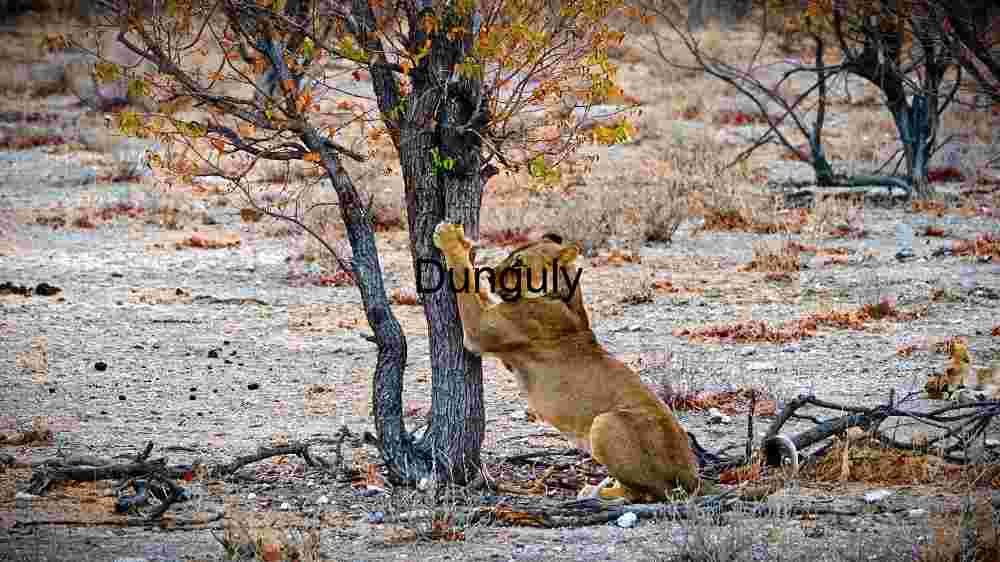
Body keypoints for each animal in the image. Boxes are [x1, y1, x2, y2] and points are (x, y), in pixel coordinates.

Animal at [432, 222, 700, 502]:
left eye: (518, 263)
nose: (490, 275)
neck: (563, 296)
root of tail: (692, 477)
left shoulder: (478, 331)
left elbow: (464, 278)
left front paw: (449, 238)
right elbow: (477, 290)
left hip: (606, 422)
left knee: (643, 492)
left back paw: (595, 491)